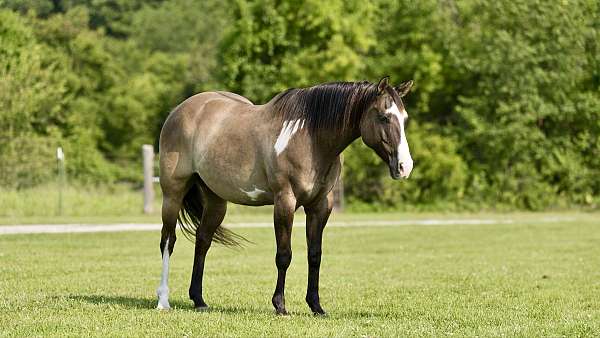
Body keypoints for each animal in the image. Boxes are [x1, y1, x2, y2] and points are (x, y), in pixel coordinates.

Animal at [157, 76, 414, 314]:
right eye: (384, 117)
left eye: (404, 118)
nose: (405, 166)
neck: (310, 139)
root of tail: (179, 111)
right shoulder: (284, 201)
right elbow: (284, 255)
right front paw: (280, 305)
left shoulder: (320, 206)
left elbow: (315, 255)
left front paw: (316, 306)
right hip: (172, 194)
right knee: (168, 241)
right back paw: (163, 301)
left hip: (215, 200)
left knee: (202, 241)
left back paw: (199, 300)